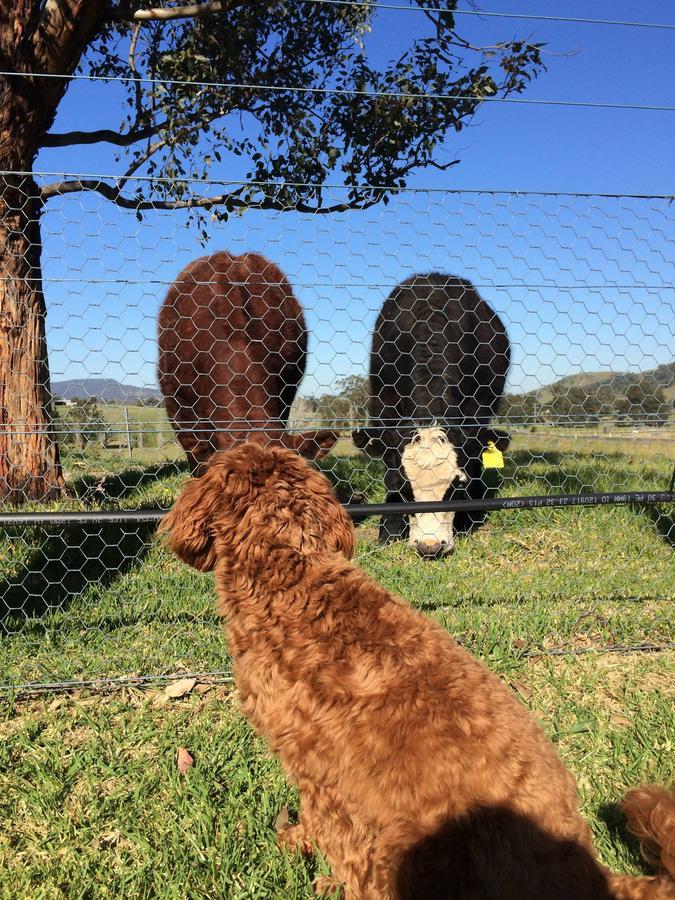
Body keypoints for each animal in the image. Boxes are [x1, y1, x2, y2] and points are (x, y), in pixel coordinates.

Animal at [160, 444, 675, 900]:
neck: (293, 576)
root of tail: (592, 877)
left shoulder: (323, 777)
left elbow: (334, 838)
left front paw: (313, 859)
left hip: (408, 850)